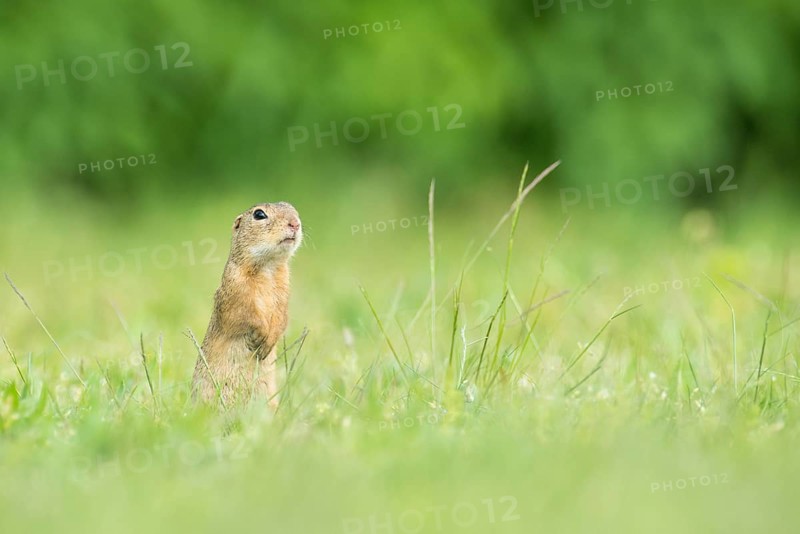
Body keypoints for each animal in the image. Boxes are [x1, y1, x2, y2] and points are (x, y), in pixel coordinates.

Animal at [192, 202, 302, 409]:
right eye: (259, 214)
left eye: (293, 209)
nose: (295, 223)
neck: (268, 268)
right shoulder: (236, 291)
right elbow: (244, 314)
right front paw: (260, 336)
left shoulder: (284, 294)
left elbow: (282, 318)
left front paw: (268, 341)